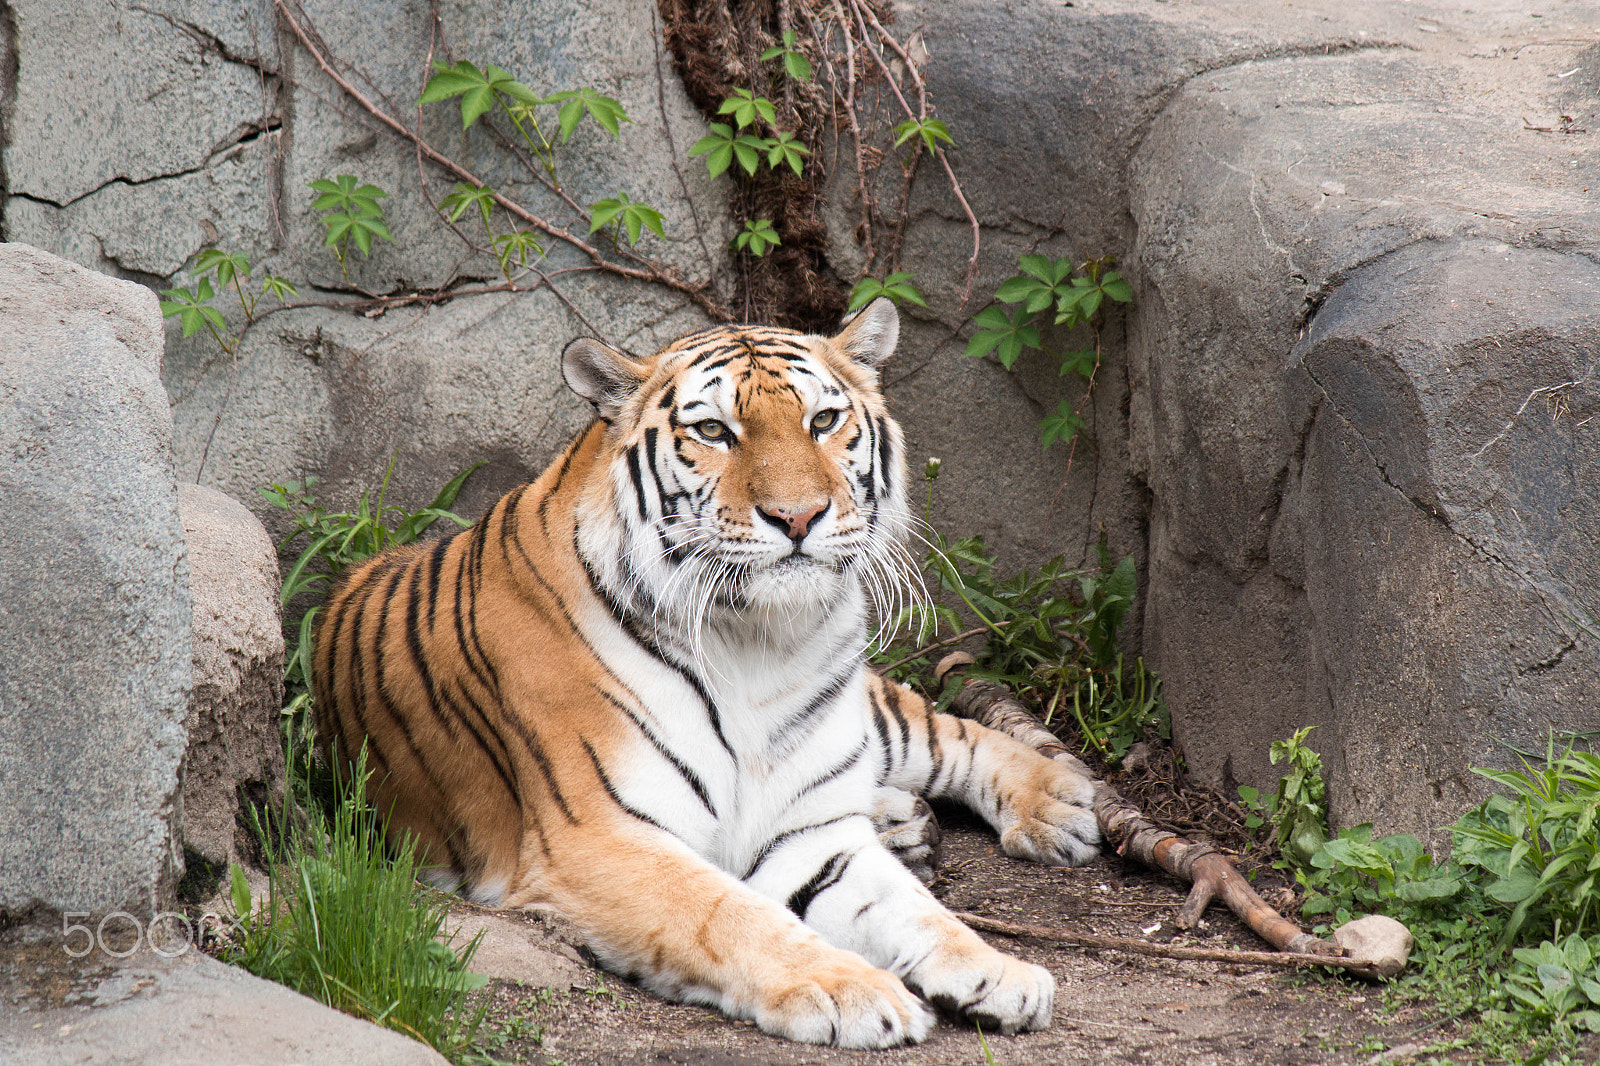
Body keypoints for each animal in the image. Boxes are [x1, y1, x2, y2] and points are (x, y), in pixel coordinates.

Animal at [313, 298, 1101, 1048]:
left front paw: (1001, 971)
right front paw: (852, 991)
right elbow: (733, 916)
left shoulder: (810, 837)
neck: (757, 642)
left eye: (823, 421)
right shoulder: (599, 837)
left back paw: (1057, 800)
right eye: (716, 432)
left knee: (936, 727)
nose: (798, 516)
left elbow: (918, 911)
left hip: (866, 711)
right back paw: (910, 820)